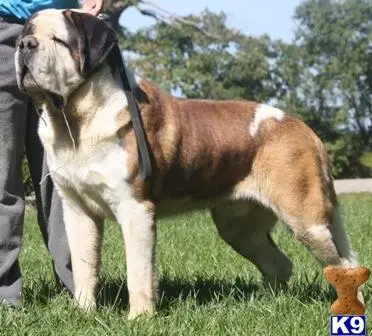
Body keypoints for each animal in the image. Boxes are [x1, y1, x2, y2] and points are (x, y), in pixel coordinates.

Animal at [15, 7, 364, 318]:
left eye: (58, 40)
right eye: (26, 35)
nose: (24, 45)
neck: (77, 119)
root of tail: (303, 127)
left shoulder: (135, 209)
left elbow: (138, 271)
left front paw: (139, 318)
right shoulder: (78, 210)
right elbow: (85, 266)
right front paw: (84, 313)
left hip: (308, 221)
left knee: (348, 266)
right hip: (238, 225)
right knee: (280, 263)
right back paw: (266, 303)